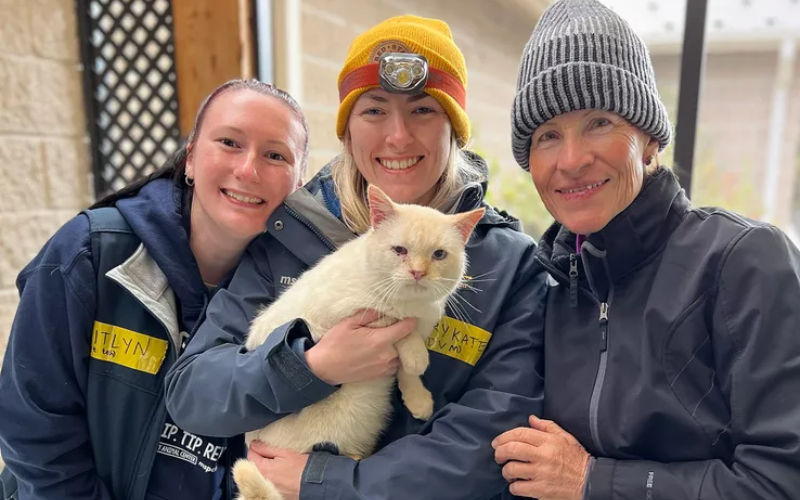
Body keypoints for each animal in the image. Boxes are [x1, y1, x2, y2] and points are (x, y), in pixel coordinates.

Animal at [230, 185, 482, 500]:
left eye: (438, 254)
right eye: (400, 250)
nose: (418, 272)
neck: (414, 305)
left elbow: (406, 371)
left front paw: (417, 398)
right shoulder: (334, 315)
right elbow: (395, 322)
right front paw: (416, 354)